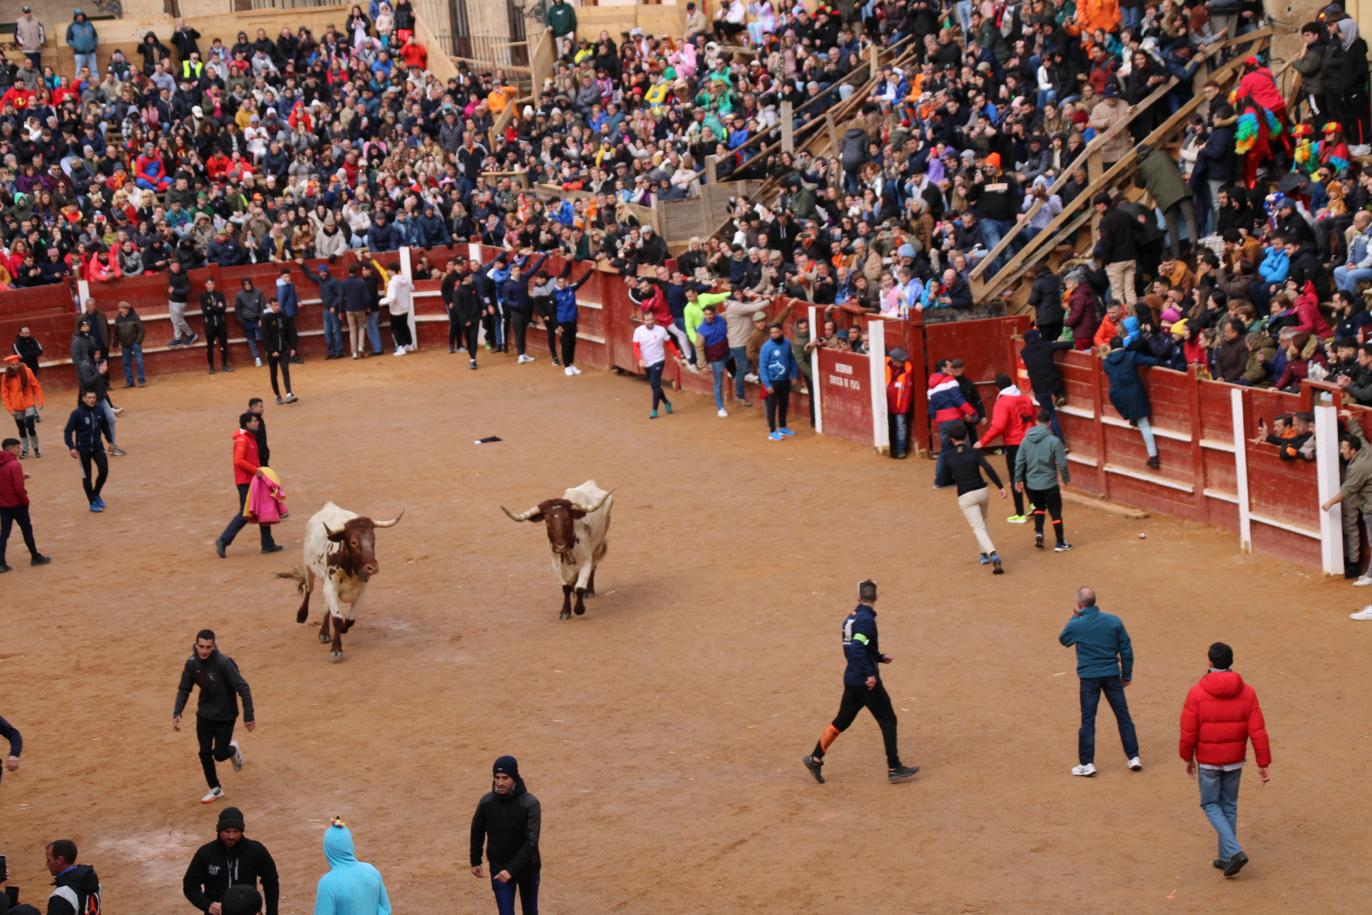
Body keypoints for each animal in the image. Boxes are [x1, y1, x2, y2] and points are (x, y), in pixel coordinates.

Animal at [282, 502, 400, 658]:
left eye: (373, 540)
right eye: (354, 542)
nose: (372, 568)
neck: (349, 568)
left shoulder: (361, 591)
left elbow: (349, 620)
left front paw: (343, 629)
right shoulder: (331, 586)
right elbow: (337, 619)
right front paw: (336, 649)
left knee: (326, 606)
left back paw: (324, 632)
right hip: (308, 568)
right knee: (308, 589)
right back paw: (302, 615)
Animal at [502, 480, 614, 622]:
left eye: (567, 518)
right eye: (547, 520)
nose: (560, 546)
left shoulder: (586, 561)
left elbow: (580, 587)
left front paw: (579, 608)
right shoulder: (556, 566)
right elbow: (566, 588)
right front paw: (565, 611)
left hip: (598, 544)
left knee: (594, 566)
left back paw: (589, 592)